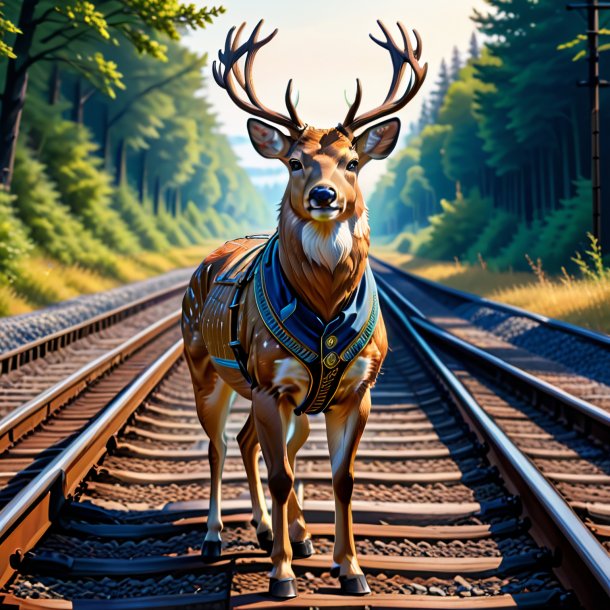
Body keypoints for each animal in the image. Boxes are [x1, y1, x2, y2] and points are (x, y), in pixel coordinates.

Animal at [183, 20, 426, 600]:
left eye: (353, 163)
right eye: (295, 162)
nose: (323, 194)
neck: (324, 310)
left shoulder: (357, 387)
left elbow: (341, 477)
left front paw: (351, 569)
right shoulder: (270, 381)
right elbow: (281, 476)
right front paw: (281, 576)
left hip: (287, 400)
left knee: (255, 443)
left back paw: (283, 531)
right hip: (206, 368)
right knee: (219, 446)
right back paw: (215, 537)